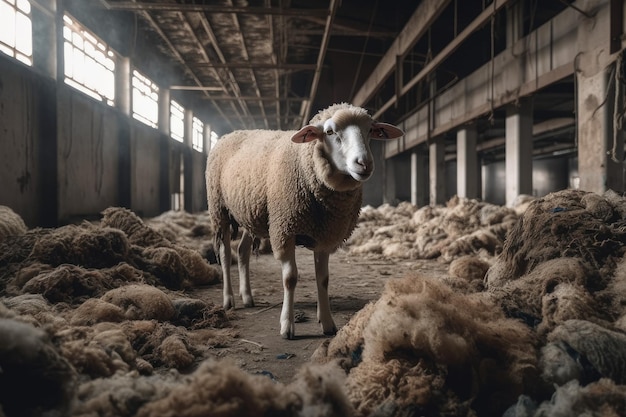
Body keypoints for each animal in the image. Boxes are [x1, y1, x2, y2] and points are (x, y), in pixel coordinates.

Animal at [202, 101, 402, 338]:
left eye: (370, 130)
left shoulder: (325, 234)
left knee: (242, 251)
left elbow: (323, 279)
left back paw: (247, 296)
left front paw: (327, 323)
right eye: (330, 132)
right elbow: (290, 278)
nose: (364, 163)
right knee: (225, 253)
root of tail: (231, 133)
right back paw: (229, 299)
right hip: (219, 209)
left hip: (251, 214)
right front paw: (287, 326)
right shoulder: (284, 229)